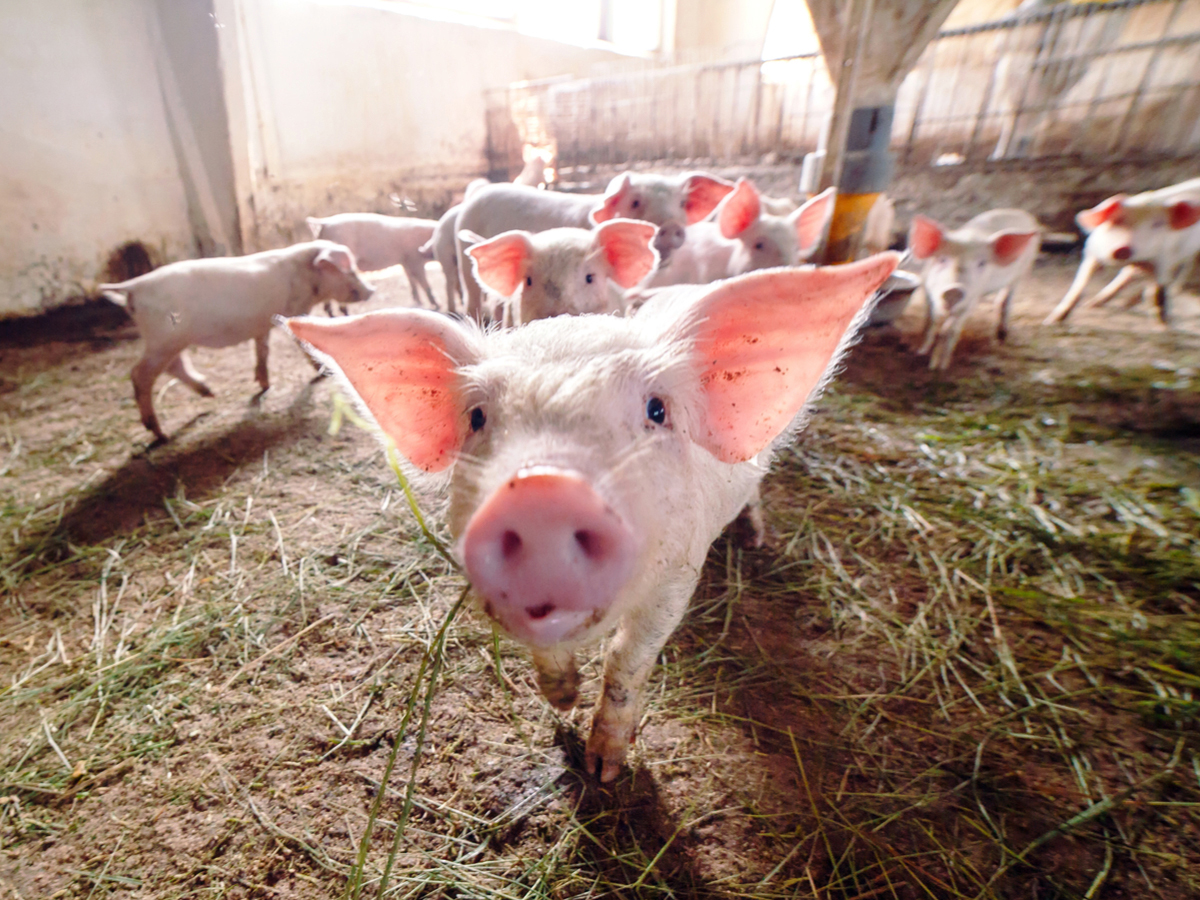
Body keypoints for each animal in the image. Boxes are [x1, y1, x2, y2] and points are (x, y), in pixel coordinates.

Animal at [100, 241, 374, 443]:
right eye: (348, 268)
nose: (371, 290)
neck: (306, 276)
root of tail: (136, 286)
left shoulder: (263, 323)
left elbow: (262, 349)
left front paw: (264, 385)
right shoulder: (296, 309)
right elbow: (301, 341)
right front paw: (321, 371)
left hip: (169, 340)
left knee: (173, 366)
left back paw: (208, 393)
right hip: (163, 338)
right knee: (139, 374)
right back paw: (161, 434)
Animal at [284, 253, 898, 781]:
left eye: (657, 409)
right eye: (478, 417)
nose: (541, 492)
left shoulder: (679, 575)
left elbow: (627, 660)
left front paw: (604, 771)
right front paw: (561, 703)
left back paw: (753, 538)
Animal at [306, 213, 437, 308]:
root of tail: (325, 222)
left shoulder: (406, 262)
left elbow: (412, 281)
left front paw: (418, 303)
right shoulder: (414, 259)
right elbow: (422, 281)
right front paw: (436, 306)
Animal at [908, 209, 1041, 370]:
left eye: (981, 263)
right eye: (942, 259)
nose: (954, 290)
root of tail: (1024, 214)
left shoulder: (971, 300)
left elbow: (950, 329)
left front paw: (940, 367)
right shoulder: (926, 289)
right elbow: (929, 322)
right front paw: (920, 352)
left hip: (1023, 271)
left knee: (1006, 299)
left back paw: (1002, 337)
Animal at [1043, 178, 1200, 326]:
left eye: (1158, 224)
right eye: (1117, 219)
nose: (1124, 248)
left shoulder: (1164, 261)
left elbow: (1158, 292)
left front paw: (1163, 324)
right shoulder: (1092, 251)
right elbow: (1079, 286)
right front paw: (1051, 320)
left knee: (1183, 272)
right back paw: (1098, 304)